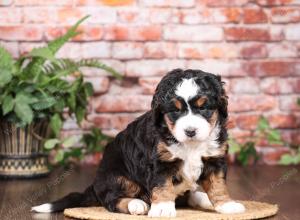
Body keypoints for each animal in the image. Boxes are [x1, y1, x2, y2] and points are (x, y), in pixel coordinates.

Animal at [31, 69, 246, 217]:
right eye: (175, 111)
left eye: (204, 108)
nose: (190, 131)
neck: (191, 145)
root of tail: (95, 184)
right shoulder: (159, 161)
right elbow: (162, 185)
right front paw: (162, 209)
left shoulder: (214, 158)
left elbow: (217, 184)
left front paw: (226, 204)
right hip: (116, 176)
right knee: (111, 200)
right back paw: (136, 204)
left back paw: (202, 198)